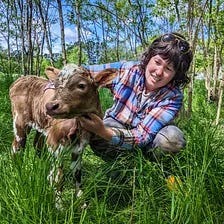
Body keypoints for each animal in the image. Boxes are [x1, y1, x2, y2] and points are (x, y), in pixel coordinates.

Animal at [9, 64, 117, 209]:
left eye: (81, 85)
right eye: (55, 85)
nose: (50, 106)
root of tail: (22, 78)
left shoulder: (79, 148)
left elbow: (77, 174)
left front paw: (82, 202)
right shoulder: (55, 145)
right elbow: (59, 176)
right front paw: (59, 205)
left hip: (41, 127)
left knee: (37, 145)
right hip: (19, 122)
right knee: (17, 148)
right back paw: (18, 173)